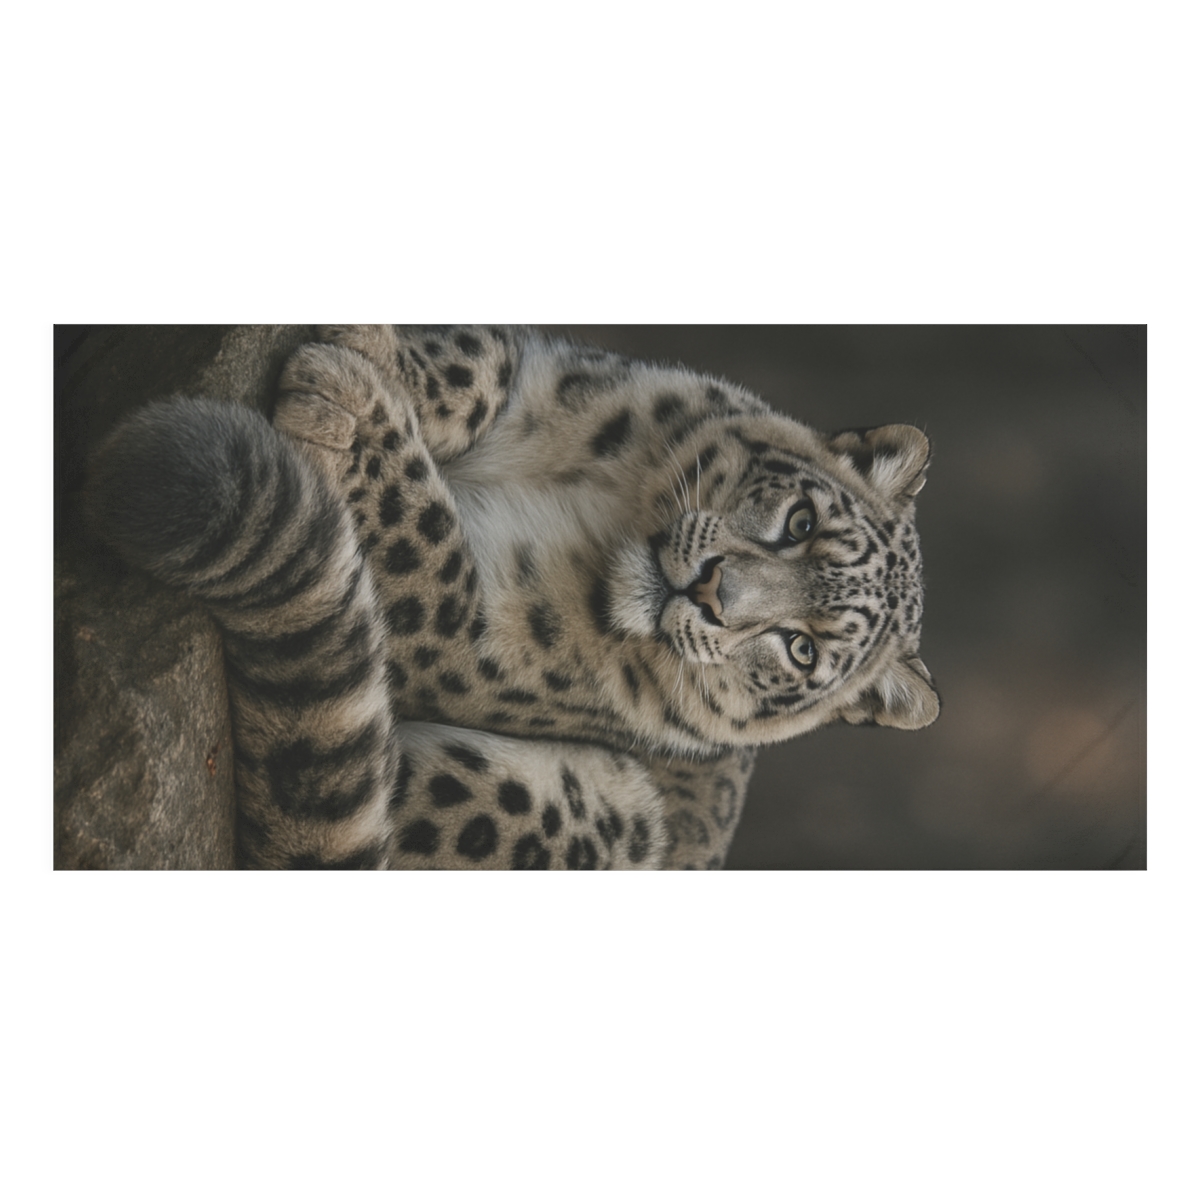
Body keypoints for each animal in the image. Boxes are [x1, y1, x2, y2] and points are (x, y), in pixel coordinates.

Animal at [86, 325, 939, 869]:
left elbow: (426, 555)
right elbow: (482, 357)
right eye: (801, 523)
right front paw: (377, 348)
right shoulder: (559, 372)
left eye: (803, 649)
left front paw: (347, 408)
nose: (711, 590)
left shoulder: (467, 641)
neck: (611, 504)